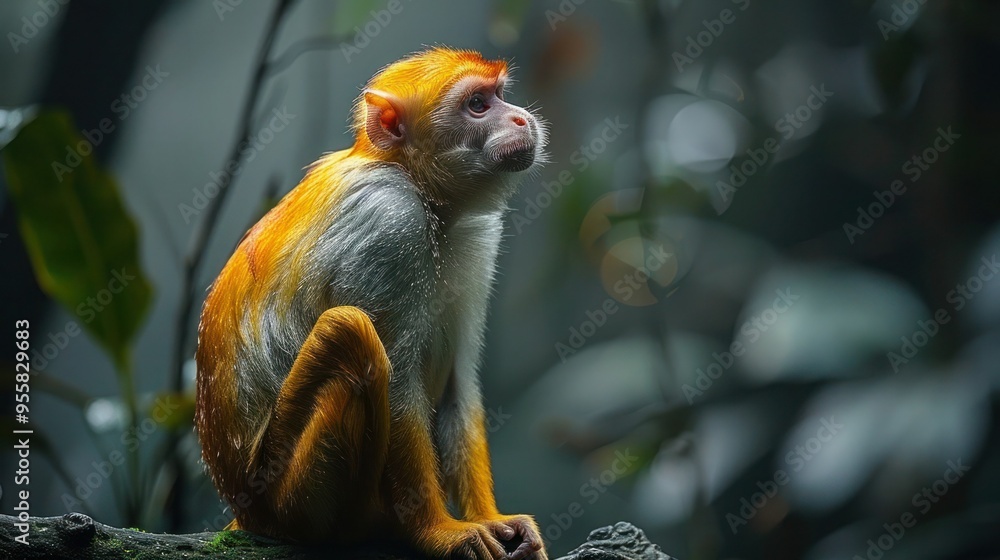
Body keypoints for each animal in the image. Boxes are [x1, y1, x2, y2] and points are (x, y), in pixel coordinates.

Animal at [194, 47, 548, 560]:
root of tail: (246, 509)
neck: (416, 184)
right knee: (349, 332)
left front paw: (492, 519)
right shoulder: (390, 225)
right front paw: (439, 531)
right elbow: (398, 383)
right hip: (286, 493)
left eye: (499, 95)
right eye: (478, 105)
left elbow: (460, 383)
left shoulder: (476, 236)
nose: (520, 117)